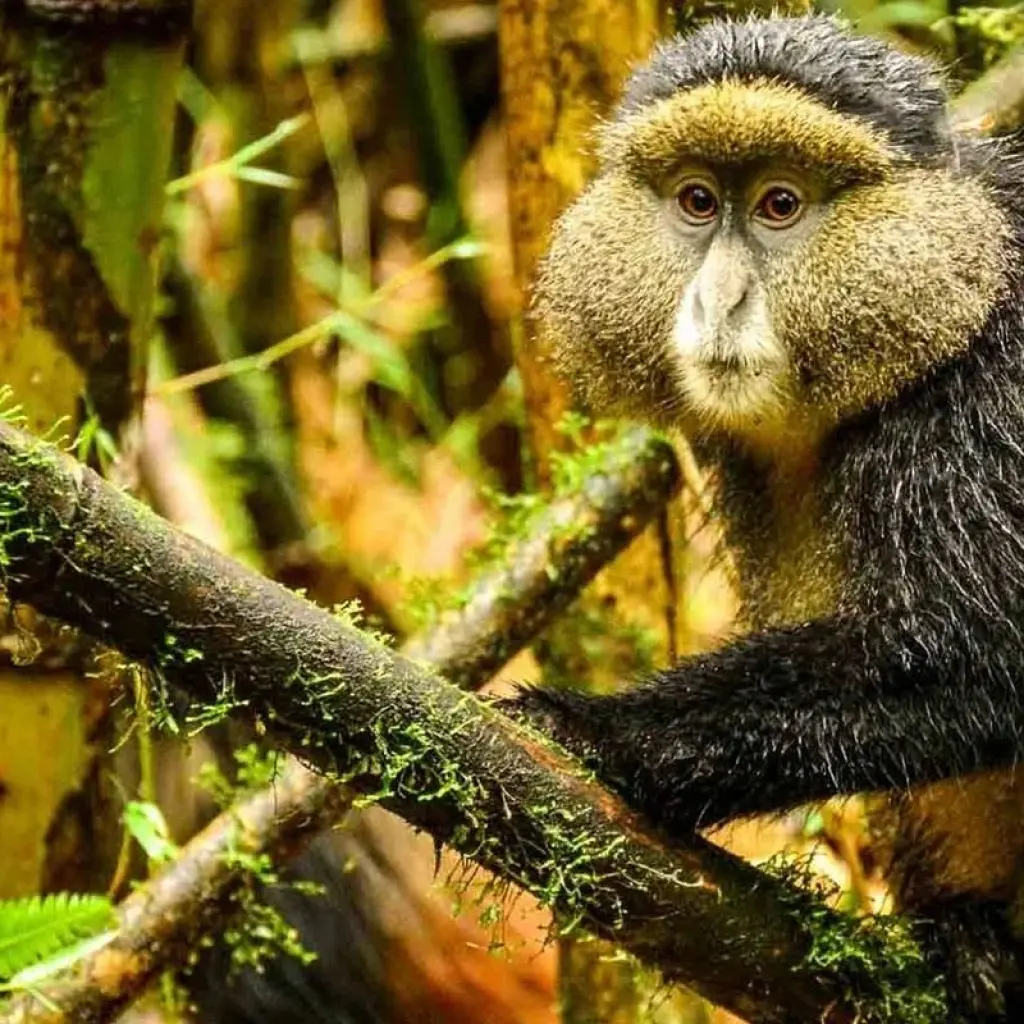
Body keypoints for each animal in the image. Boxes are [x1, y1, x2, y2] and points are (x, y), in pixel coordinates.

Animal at [506, 13, 1024, 1019]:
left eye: (781, 205)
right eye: (698, 201)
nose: (720, 299)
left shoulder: (988, 394)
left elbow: (979, 656)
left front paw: (598, 734)